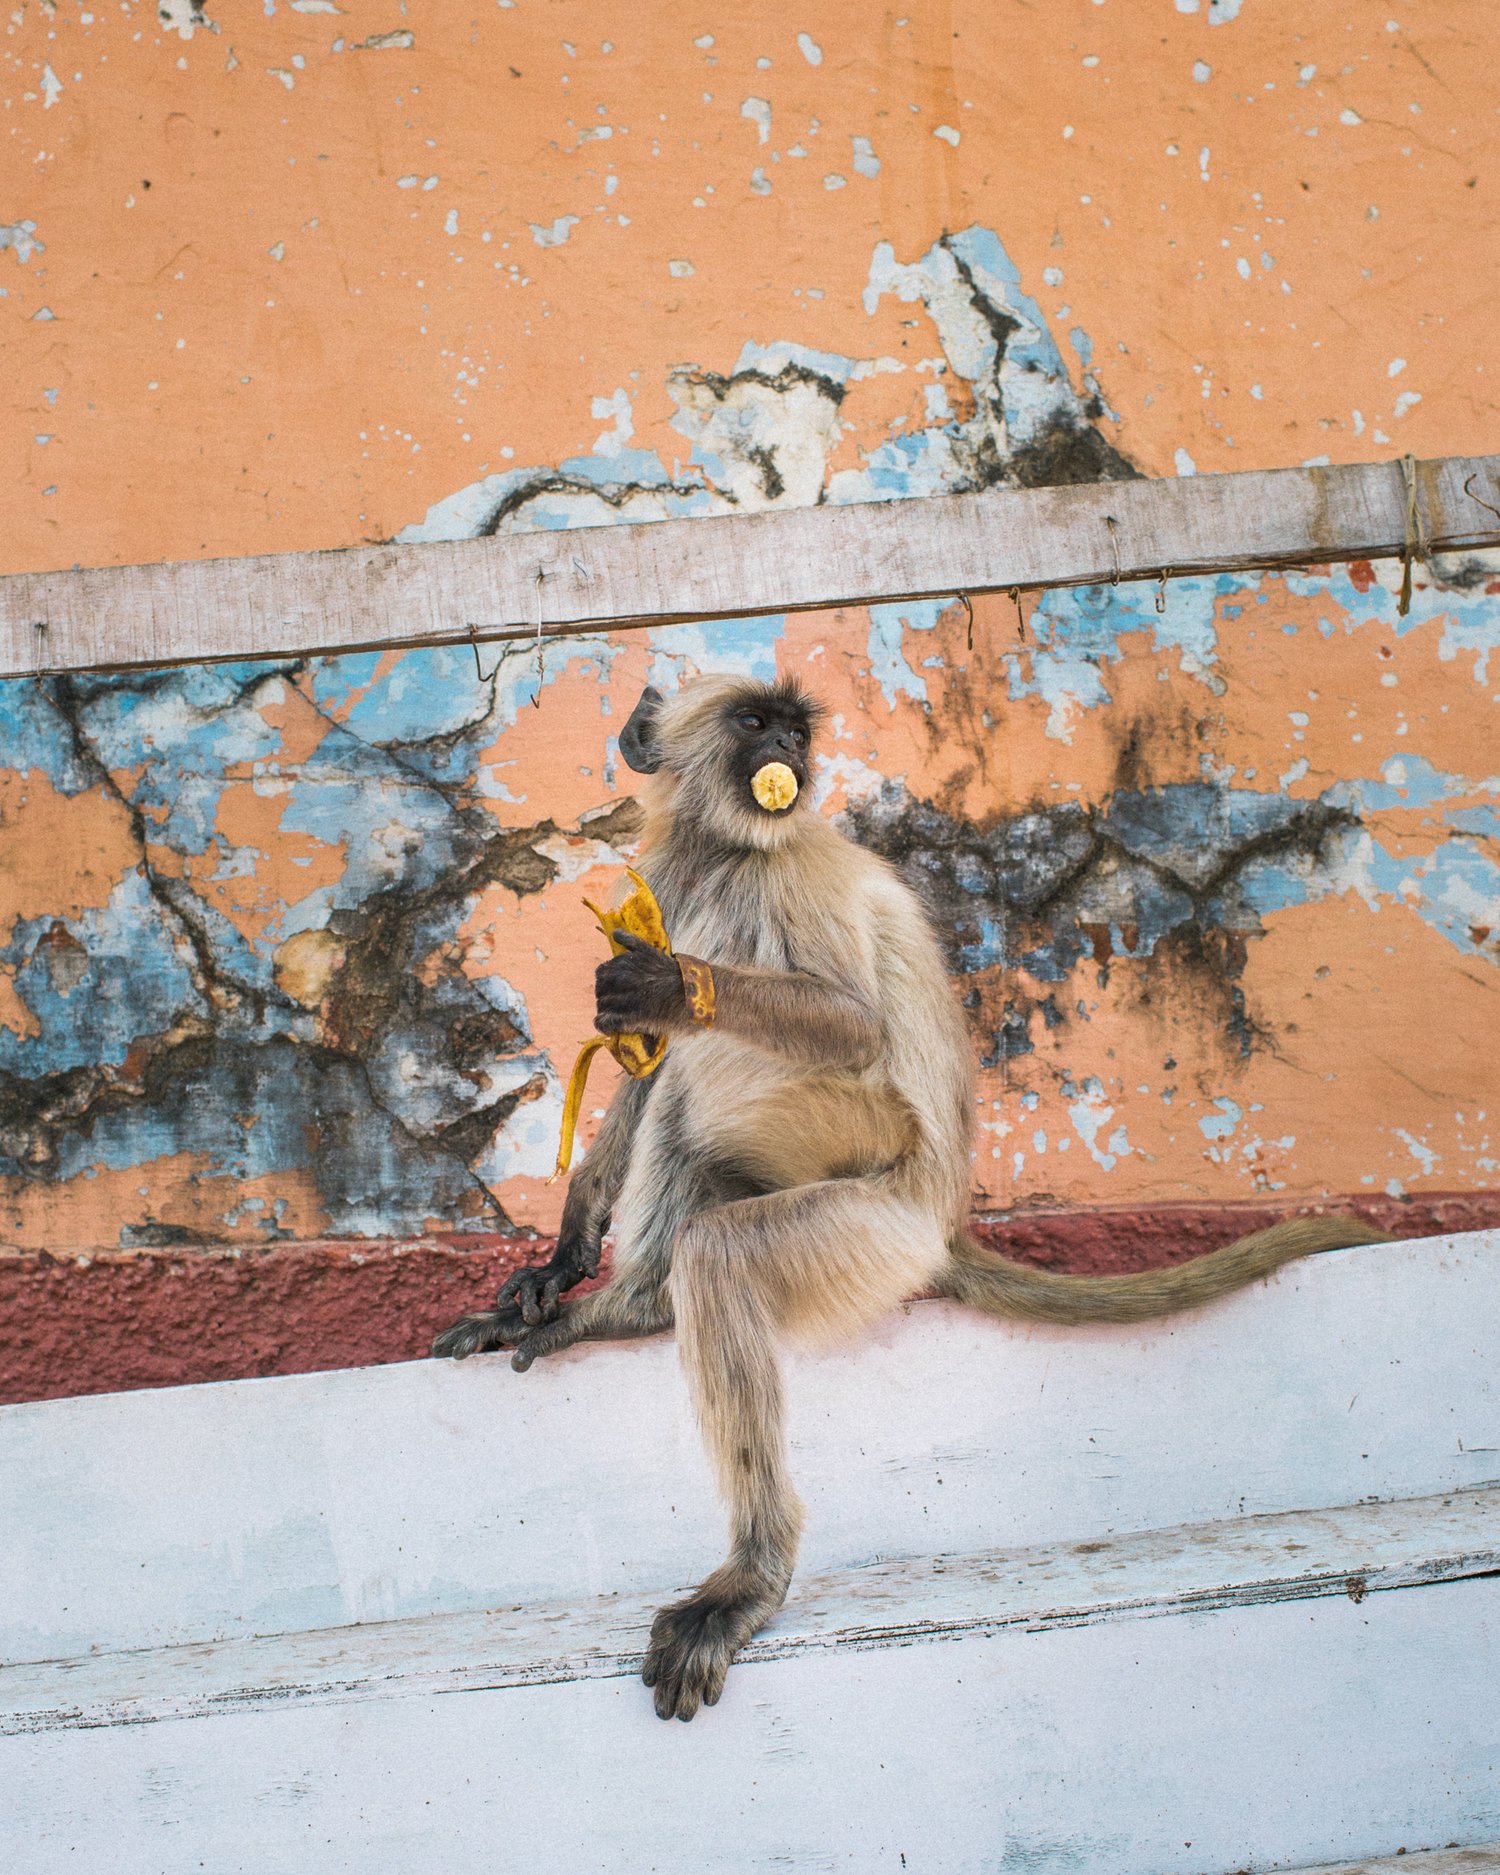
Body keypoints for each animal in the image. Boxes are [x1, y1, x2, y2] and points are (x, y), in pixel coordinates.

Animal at [431, 675, 1380, 1725]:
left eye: (794, 730)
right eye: (756, 724)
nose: (790, 756)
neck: (720, 851)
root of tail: (943, 1219)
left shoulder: (777, 873)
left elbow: (833, 1024)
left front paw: (677, 987)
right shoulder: (668, 886)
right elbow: (636, 1064)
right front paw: (561, 1257)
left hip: (866, 1216)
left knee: (715, 1174)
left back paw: (742, 1557)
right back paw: (627, 1304)